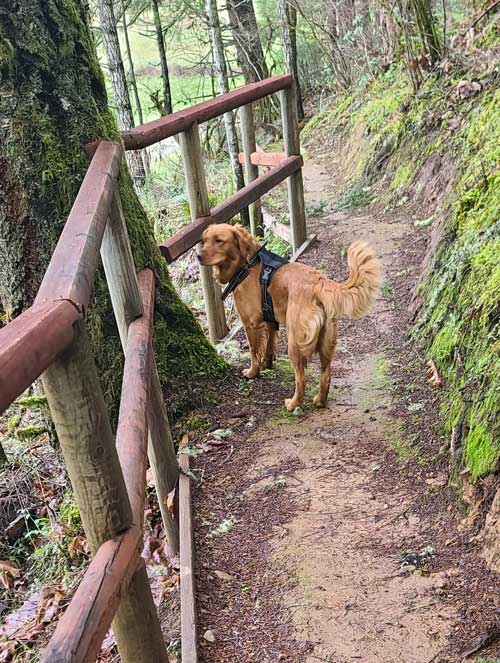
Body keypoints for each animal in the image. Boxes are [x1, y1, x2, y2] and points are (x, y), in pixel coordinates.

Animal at [197, 224, 380, 410]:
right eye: (204, 240)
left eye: (218, 240)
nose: (198, 256)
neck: (247, 265)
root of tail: (320, 282)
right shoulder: (270, 321)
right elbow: (269, 345)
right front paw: (267, 363)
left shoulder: (251, 322)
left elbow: (254, 351)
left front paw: (253, 372)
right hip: (327, 341)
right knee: (326, 374)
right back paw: (320, 400)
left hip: (294, 342)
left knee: (301, 379)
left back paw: (293, 404)